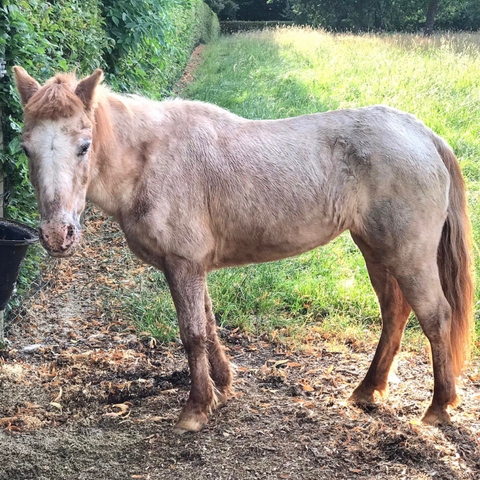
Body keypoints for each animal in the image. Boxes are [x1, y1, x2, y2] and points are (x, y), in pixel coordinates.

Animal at [13, 67, 474, 433]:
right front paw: (222, 386)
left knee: (435, 316)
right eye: (25, 148)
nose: (56, 235)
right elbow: (209, 325)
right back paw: (366, 390)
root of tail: (422, 134)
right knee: (395, 312)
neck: (150, 159)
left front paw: (196, 409)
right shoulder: (192, 266)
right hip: (376, 250)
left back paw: (437, 408)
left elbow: (193, 333)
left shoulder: (183, 264)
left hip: (408, 254)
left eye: (84, 145)